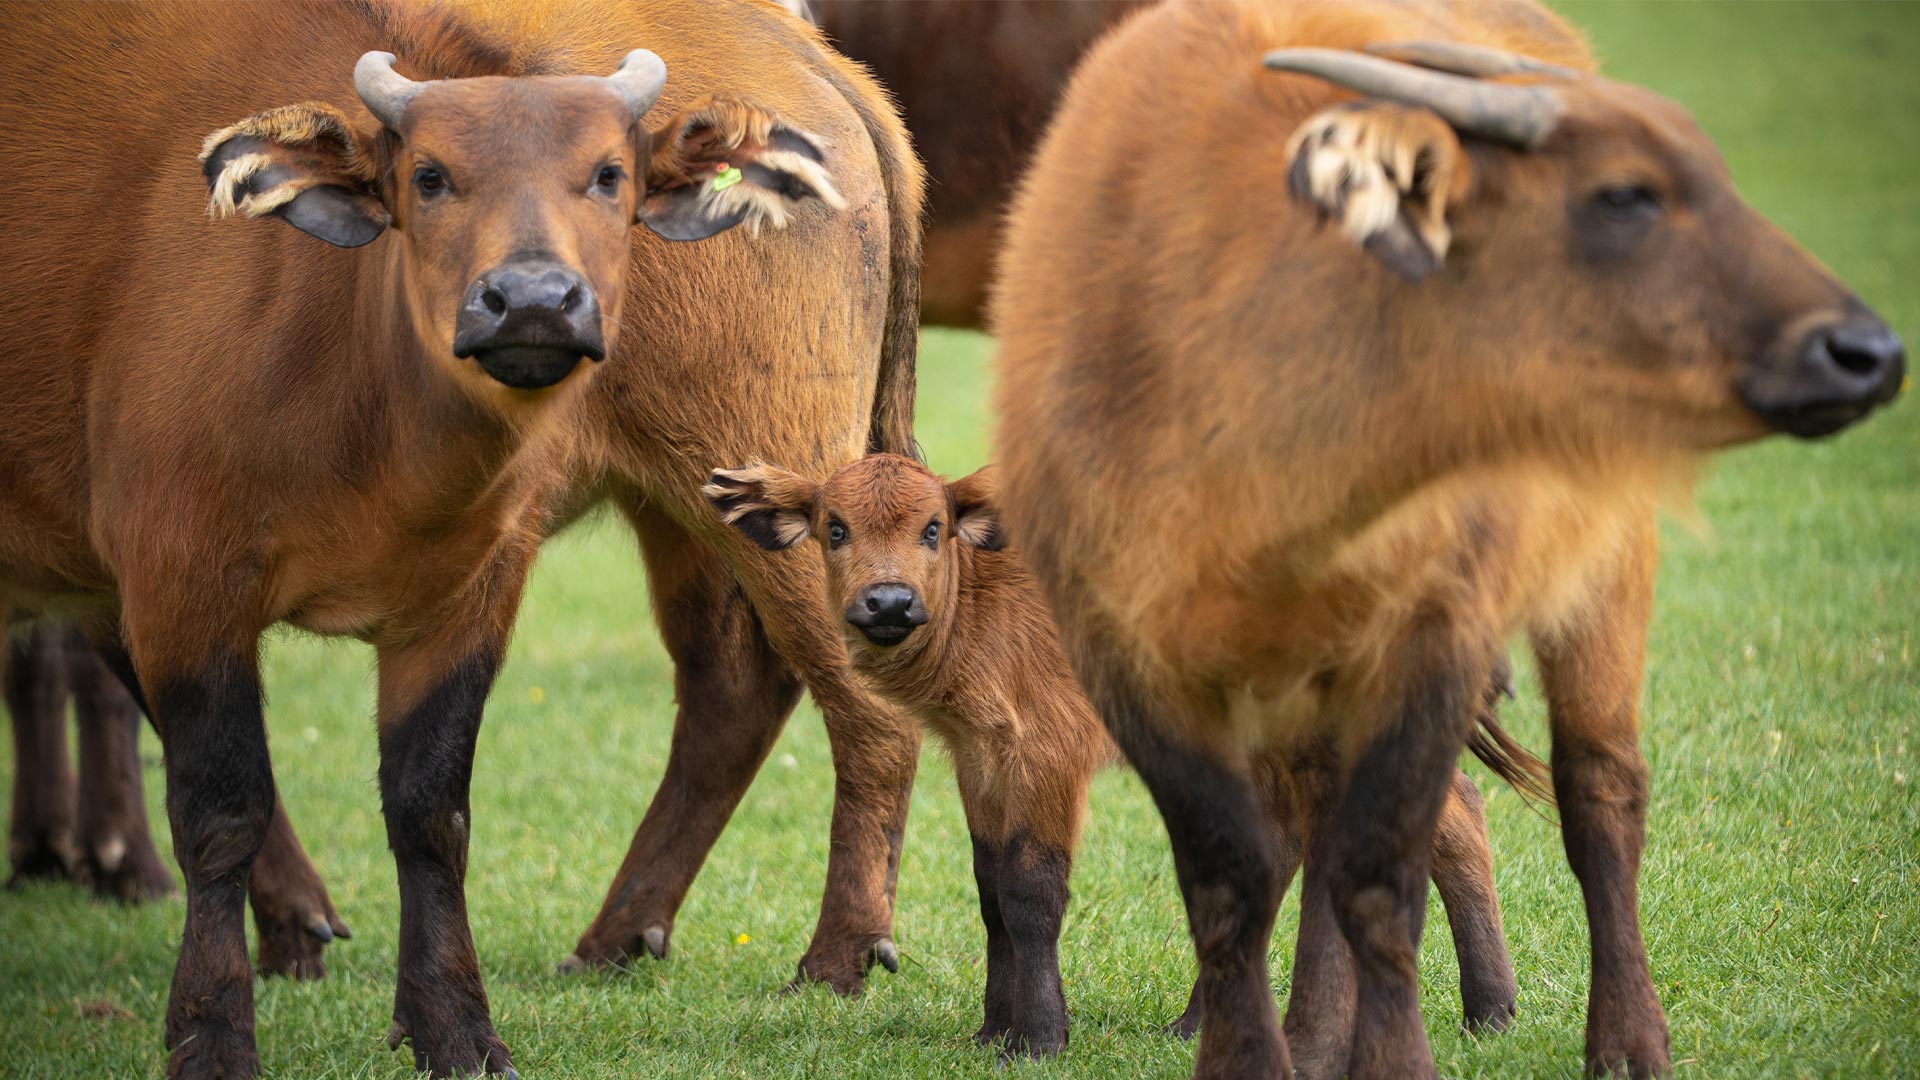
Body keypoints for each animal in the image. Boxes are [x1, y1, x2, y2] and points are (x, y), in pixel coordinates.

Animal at [0, 1, 866, 1075]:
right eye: (429, 176)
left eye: (608, 174)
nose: (532, 300)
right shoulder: (175, 583)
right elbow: (222, 812)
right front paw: (214, 1034)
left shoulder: (467, 595)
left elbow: (430, 812)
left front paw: (452, 1023)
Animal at [705, 453, 1539, 1054]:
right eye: (834, 527)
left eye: (932, 528)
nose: (888, 602)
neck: (981, 607)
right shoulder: (980, 755)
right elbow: (989, 890)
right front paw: (991, 1031)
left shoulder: (1049, 750)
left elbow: (1032, 891)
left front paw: (1039, 1038)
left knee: (1439, 814)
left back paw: (1489, 1011)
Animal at [989, 1, 1905, 1078]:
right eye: (1625, 195)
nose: (1869, 352)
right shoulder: (1124, 658)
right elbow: (1228, 883)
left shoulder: (1432, 636)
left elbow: (1381, 881)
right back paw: (1320, 1032)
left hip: (1605, 570)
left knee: (1600, 794)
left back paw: (1625, 1039)